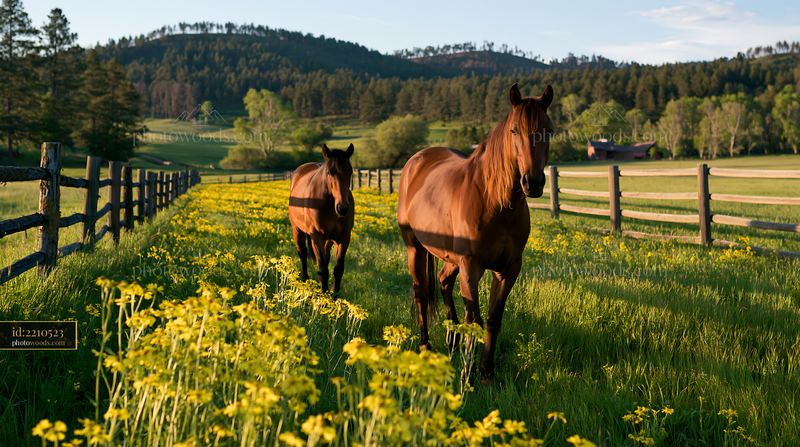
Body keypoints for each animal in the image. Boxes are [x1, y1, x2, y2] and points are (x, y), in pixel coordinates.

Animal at [288, 143, 355, 294]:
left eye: (350, 172)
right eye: (330, 172)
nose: (342, 208)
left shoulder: (344, 238)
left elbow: (338, 269)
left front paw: (334, 295)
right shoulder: (317, 237)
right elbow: (323, 270)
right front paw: (323, 296)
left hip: (329, 240)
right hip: (297, 230)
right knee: (303, 253)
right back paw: (305, 280)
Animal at [397, 83, 554, 379]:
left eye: (548, 130)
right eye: (514, 130)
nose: (533, 182)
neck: (495, 202)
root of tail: (416, 161)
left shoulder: (508, 269)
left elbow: (493, 319)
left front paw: (486, 371)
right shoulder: (471, 266)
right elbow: (475, 319)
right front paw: (468, 373)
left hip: (451, 258)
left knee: (444, 282)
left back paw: (452, 340)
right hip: (415, 248)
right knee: (421, 292)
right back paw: (425, 346)